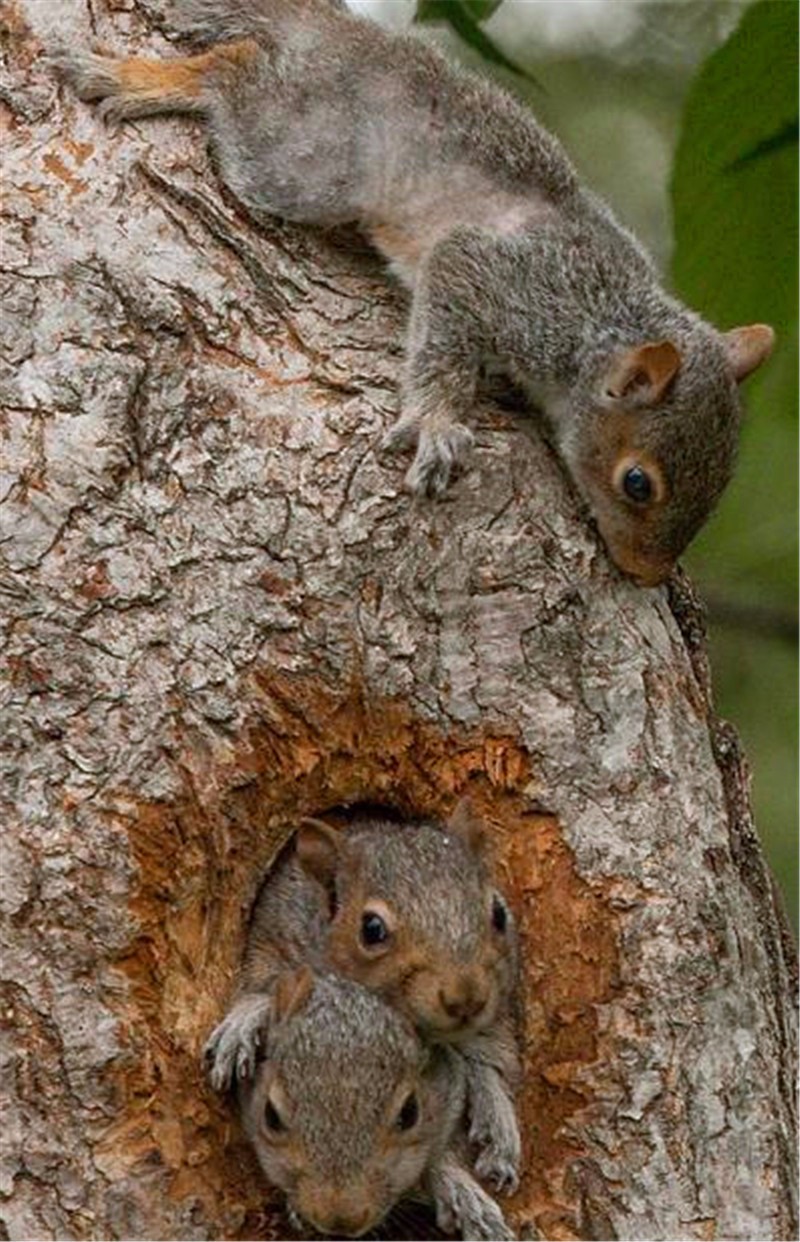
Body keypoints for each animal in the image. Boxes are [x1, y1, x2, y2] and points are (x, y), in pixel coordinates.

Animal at [51, 0, 775, 586]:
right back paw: (150, 80)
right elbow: (447, 318)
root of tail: (336, 33)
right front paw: (437, 420)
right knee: (236, 72)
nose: (647, 574)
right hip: (305, 159)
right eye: (637, 483)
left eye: (724, 479)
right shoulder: (508, 283)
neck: (605, 316)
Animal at [203, 799, 521, 1197]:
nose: (465, 998)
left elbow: (490, 1052)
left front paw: (498, 1119)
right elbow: (263, 984)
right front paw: (242, 1023)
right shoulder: (275, 934)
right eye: (372, 929)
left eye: (499, 914)